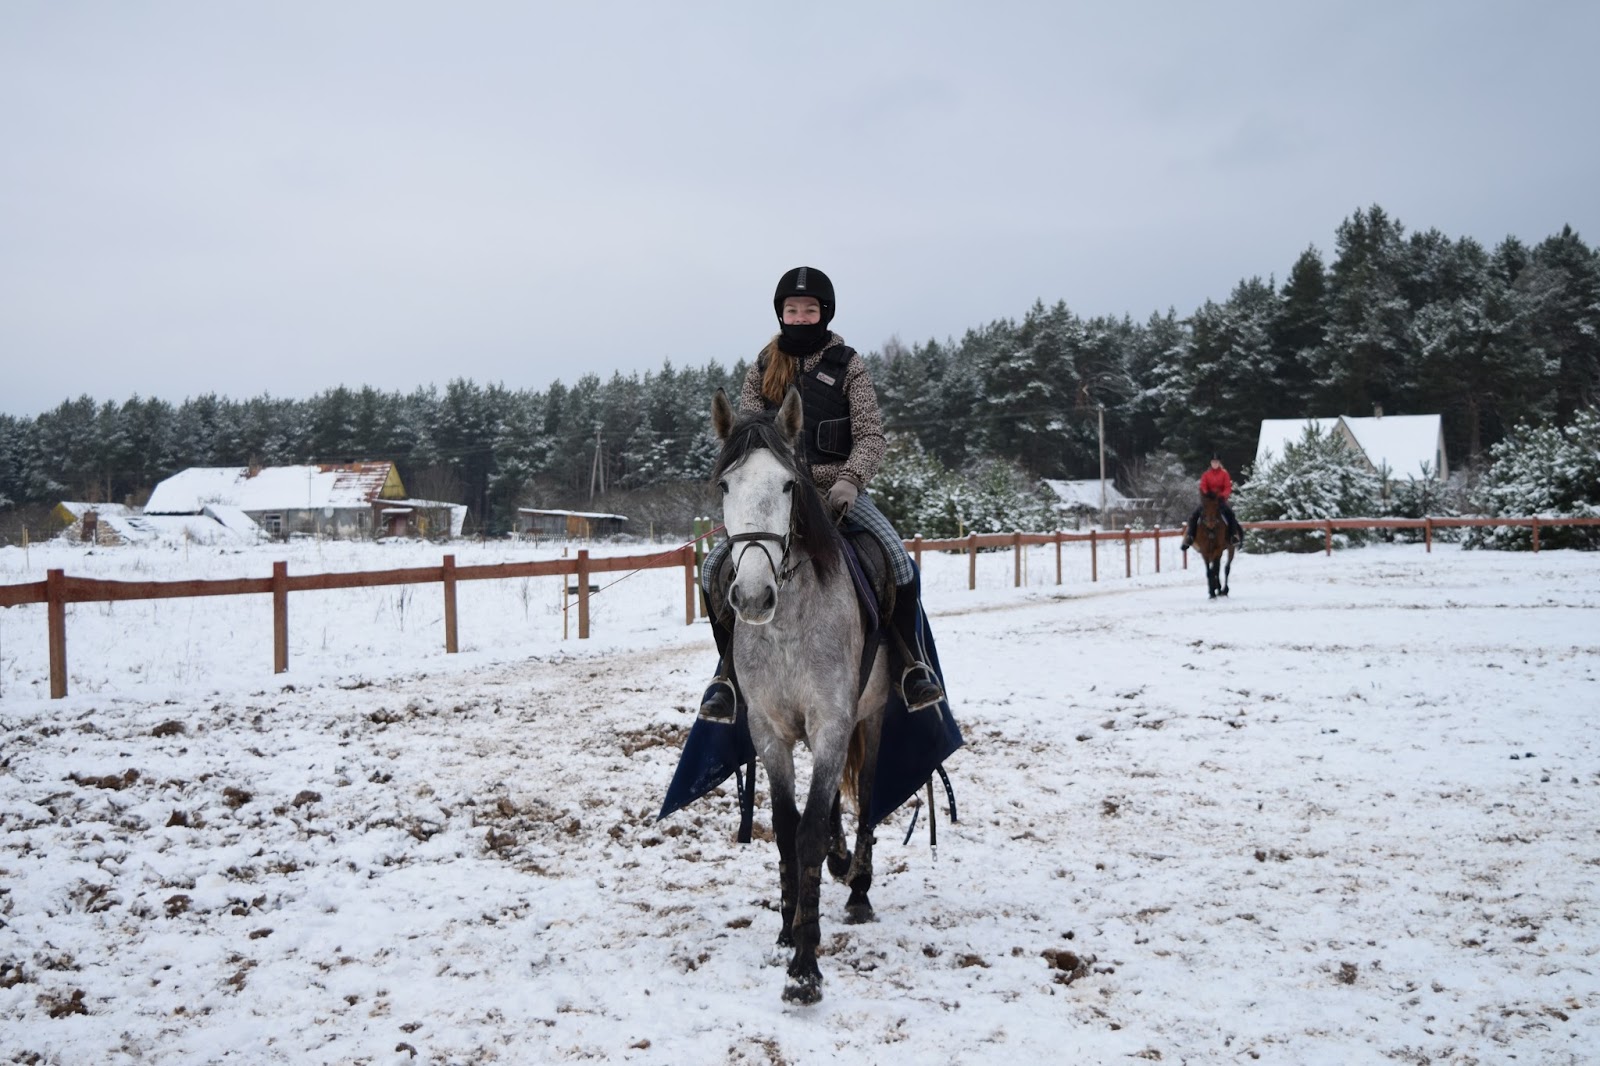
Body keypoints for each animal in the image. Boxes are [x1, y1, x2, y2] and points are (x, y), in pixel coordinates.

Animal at [708, 385, 889, 1005]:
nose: (753, 596)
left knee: (865, 802)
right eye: (725, 485)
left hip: (873, 716)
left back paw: (858, 888)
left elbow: (808, 831)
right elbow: (788, 828)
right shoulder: (770, 731)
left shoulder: (833, 722)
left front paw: (806, 967)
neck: (787, 624)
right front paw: (789, 929)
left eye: (788, 484)